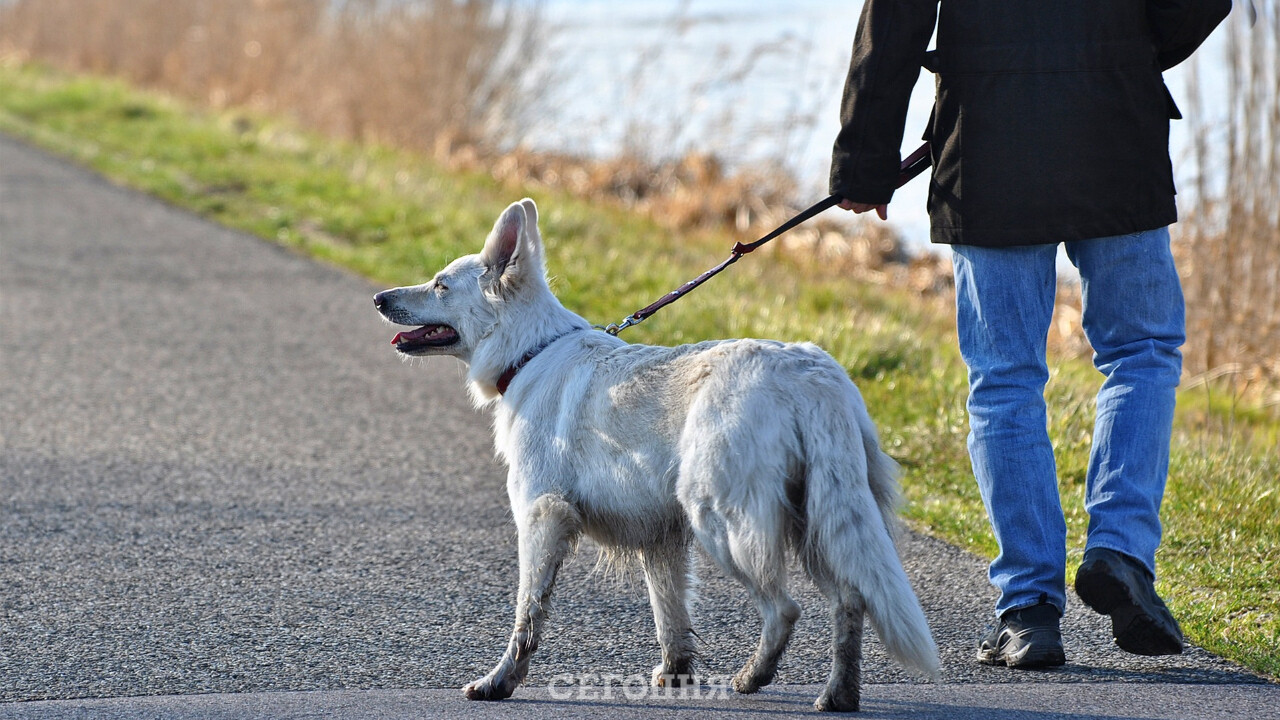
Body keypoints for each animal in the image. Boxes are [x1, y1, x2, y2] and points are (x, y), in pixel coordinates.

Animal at [373, 197, 936, 712]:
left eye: (441, 285)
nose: (379, 297)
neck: (530, 351)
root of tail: (811, 375)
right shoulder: (660, 539)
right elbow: (671, 616)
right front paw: (676, 674)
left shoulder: (541, 518)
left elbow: (527, 613)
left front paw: (499, 682)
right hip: (817, 522)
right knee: (850, 600)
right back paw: (838, 694)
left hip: (723, 522)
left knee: (785, 609)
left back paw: (752, 678)